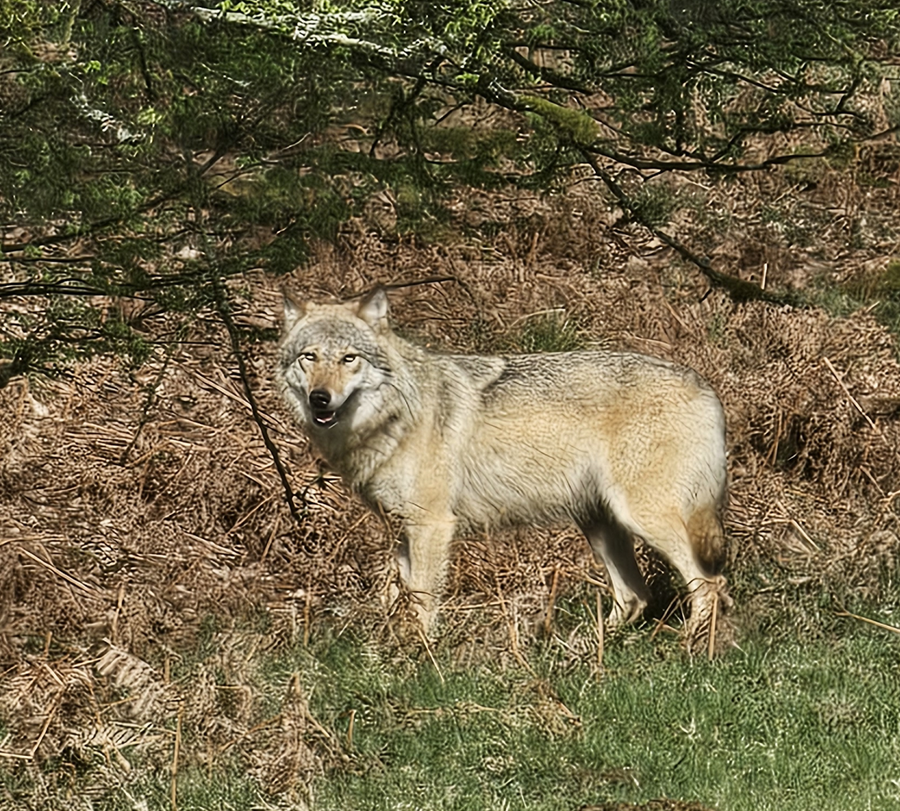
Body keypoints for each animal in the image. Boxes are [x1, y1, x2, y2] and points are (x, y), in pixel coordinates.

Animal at [277, 287, 730, 648]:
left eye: (349, 359)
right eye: (309, 358)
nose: (320, 398)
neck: (393, 416)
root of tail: (705, 386)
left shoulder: (432, 525)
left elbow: (422, 596)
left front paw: (420, 654)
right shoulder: (404, 529)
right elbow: (398, 594)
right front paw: (393, 646)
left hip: (643, 518)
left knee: (709, 583)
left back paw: (688, 645)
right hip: (600, 523)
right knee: (636, 596)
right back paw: (579, 647)